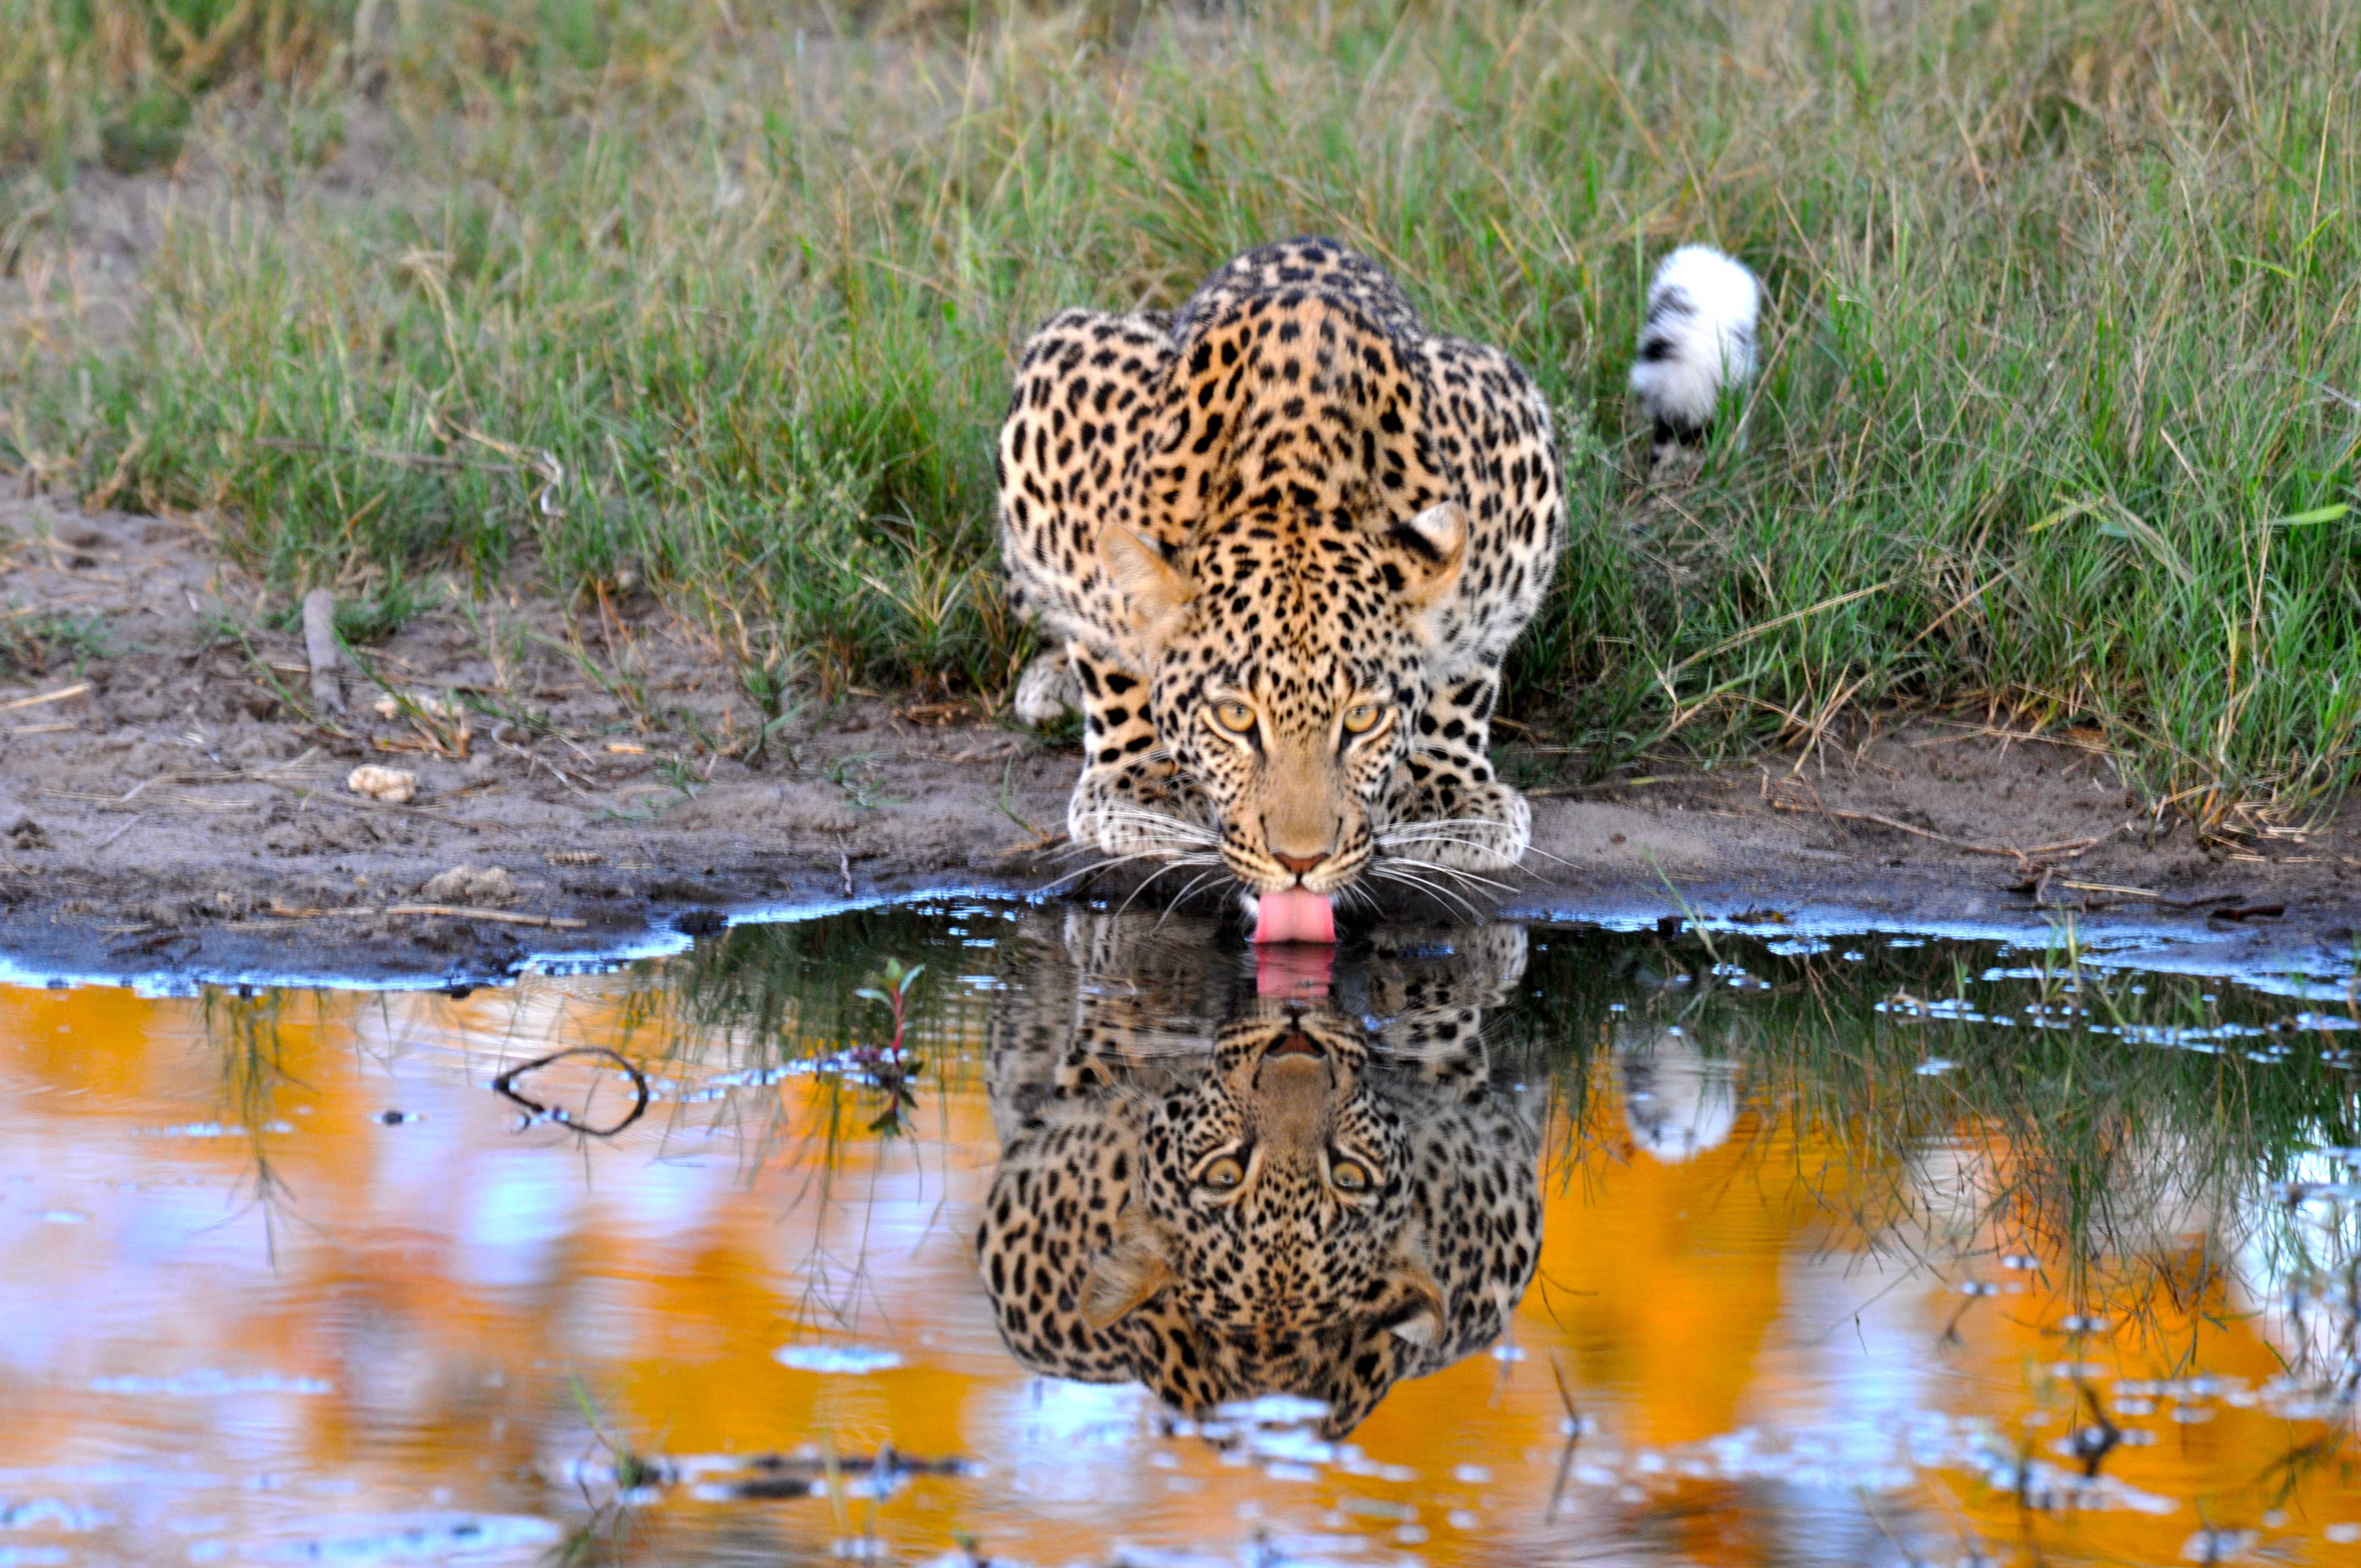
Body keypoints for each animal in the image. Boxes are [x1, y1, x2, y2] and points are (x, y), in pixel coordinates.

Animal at [994, 238, 1565, 915]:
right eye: (1234, 719)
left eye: (1361, 719)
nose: (1300, 862)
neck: (1295, 477)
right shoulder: (1059, 393)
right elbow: (1111, 655)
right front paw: (1145, 785)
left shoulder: (1513, 451)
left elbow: (1465, 671)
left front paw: (1446, 795)